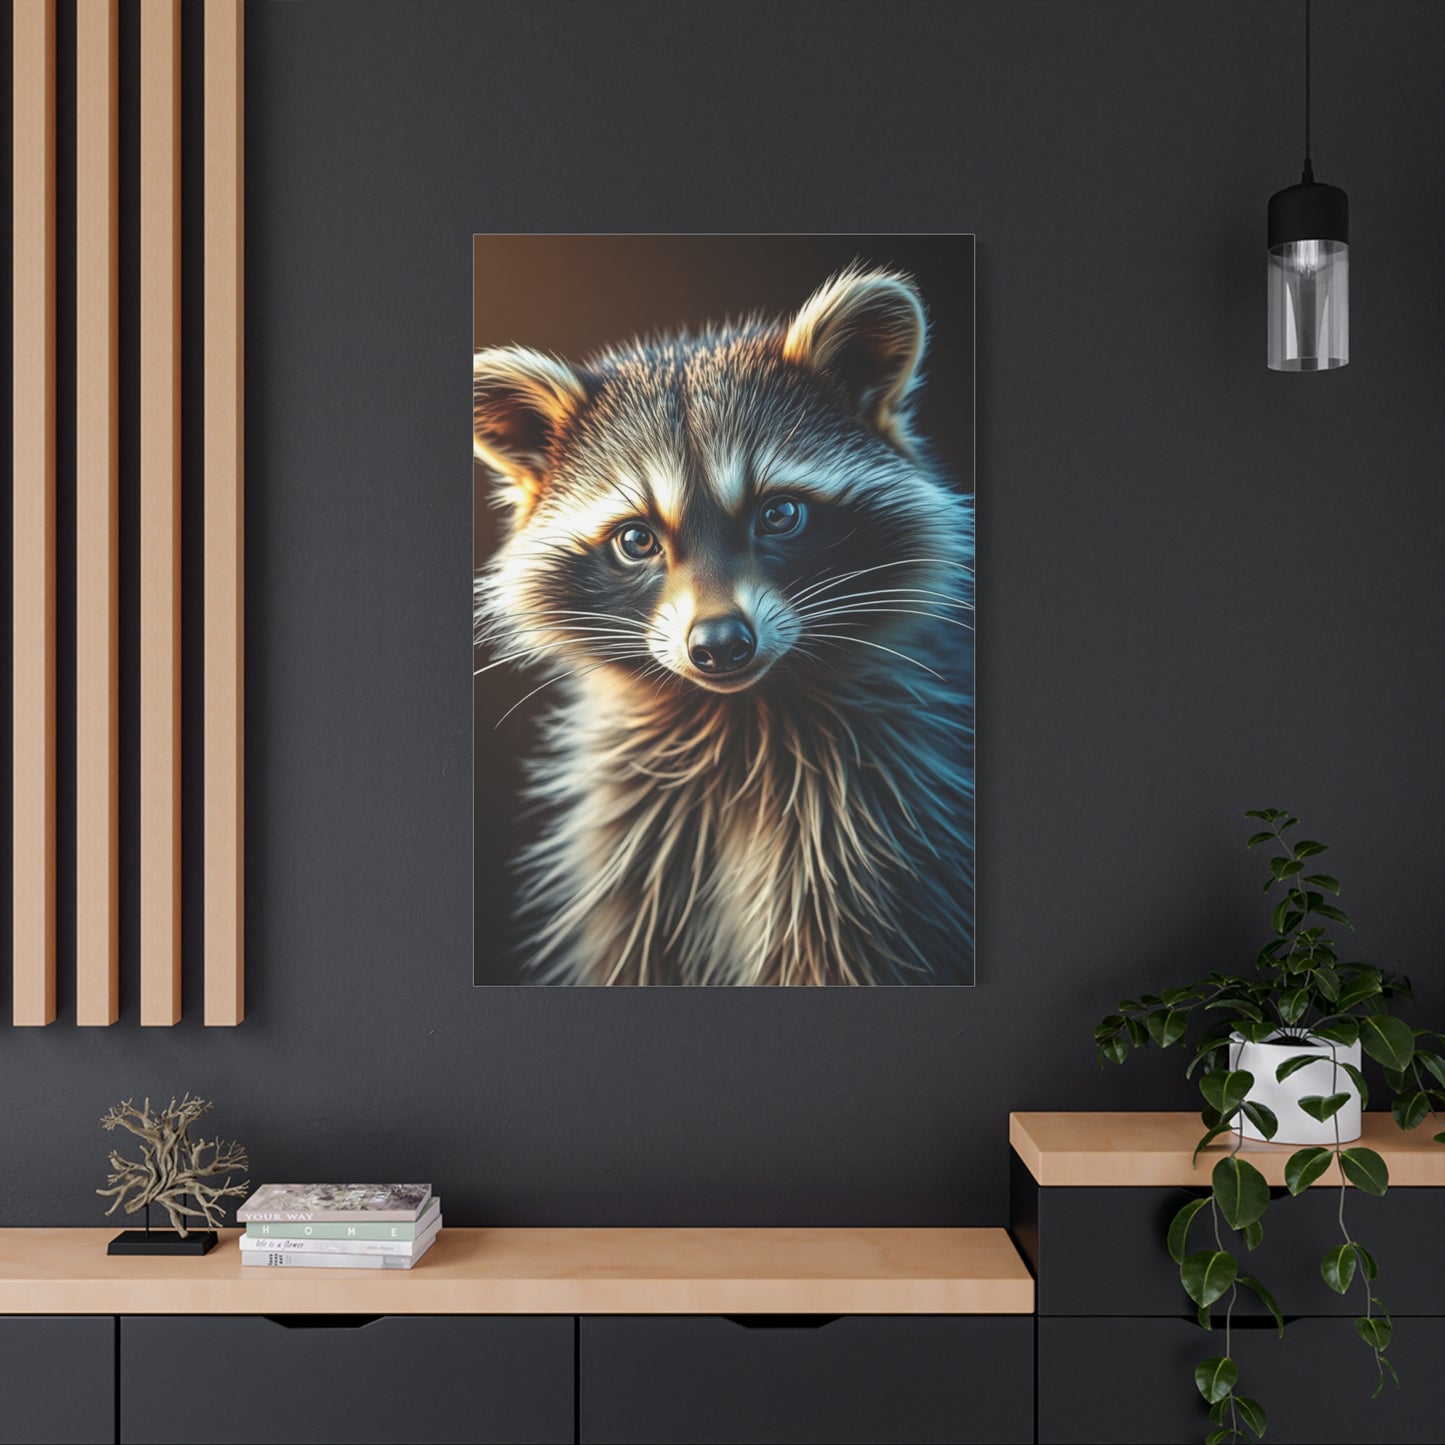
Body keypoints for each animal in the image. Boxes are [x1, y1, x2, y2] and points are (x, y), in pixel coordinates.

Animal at [473, 264, 973, 985]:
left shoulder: (877, 840)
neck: (741, 717)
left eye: (779, 514)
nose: (719, 645)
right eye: (636, 539)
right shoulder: (635, 849)